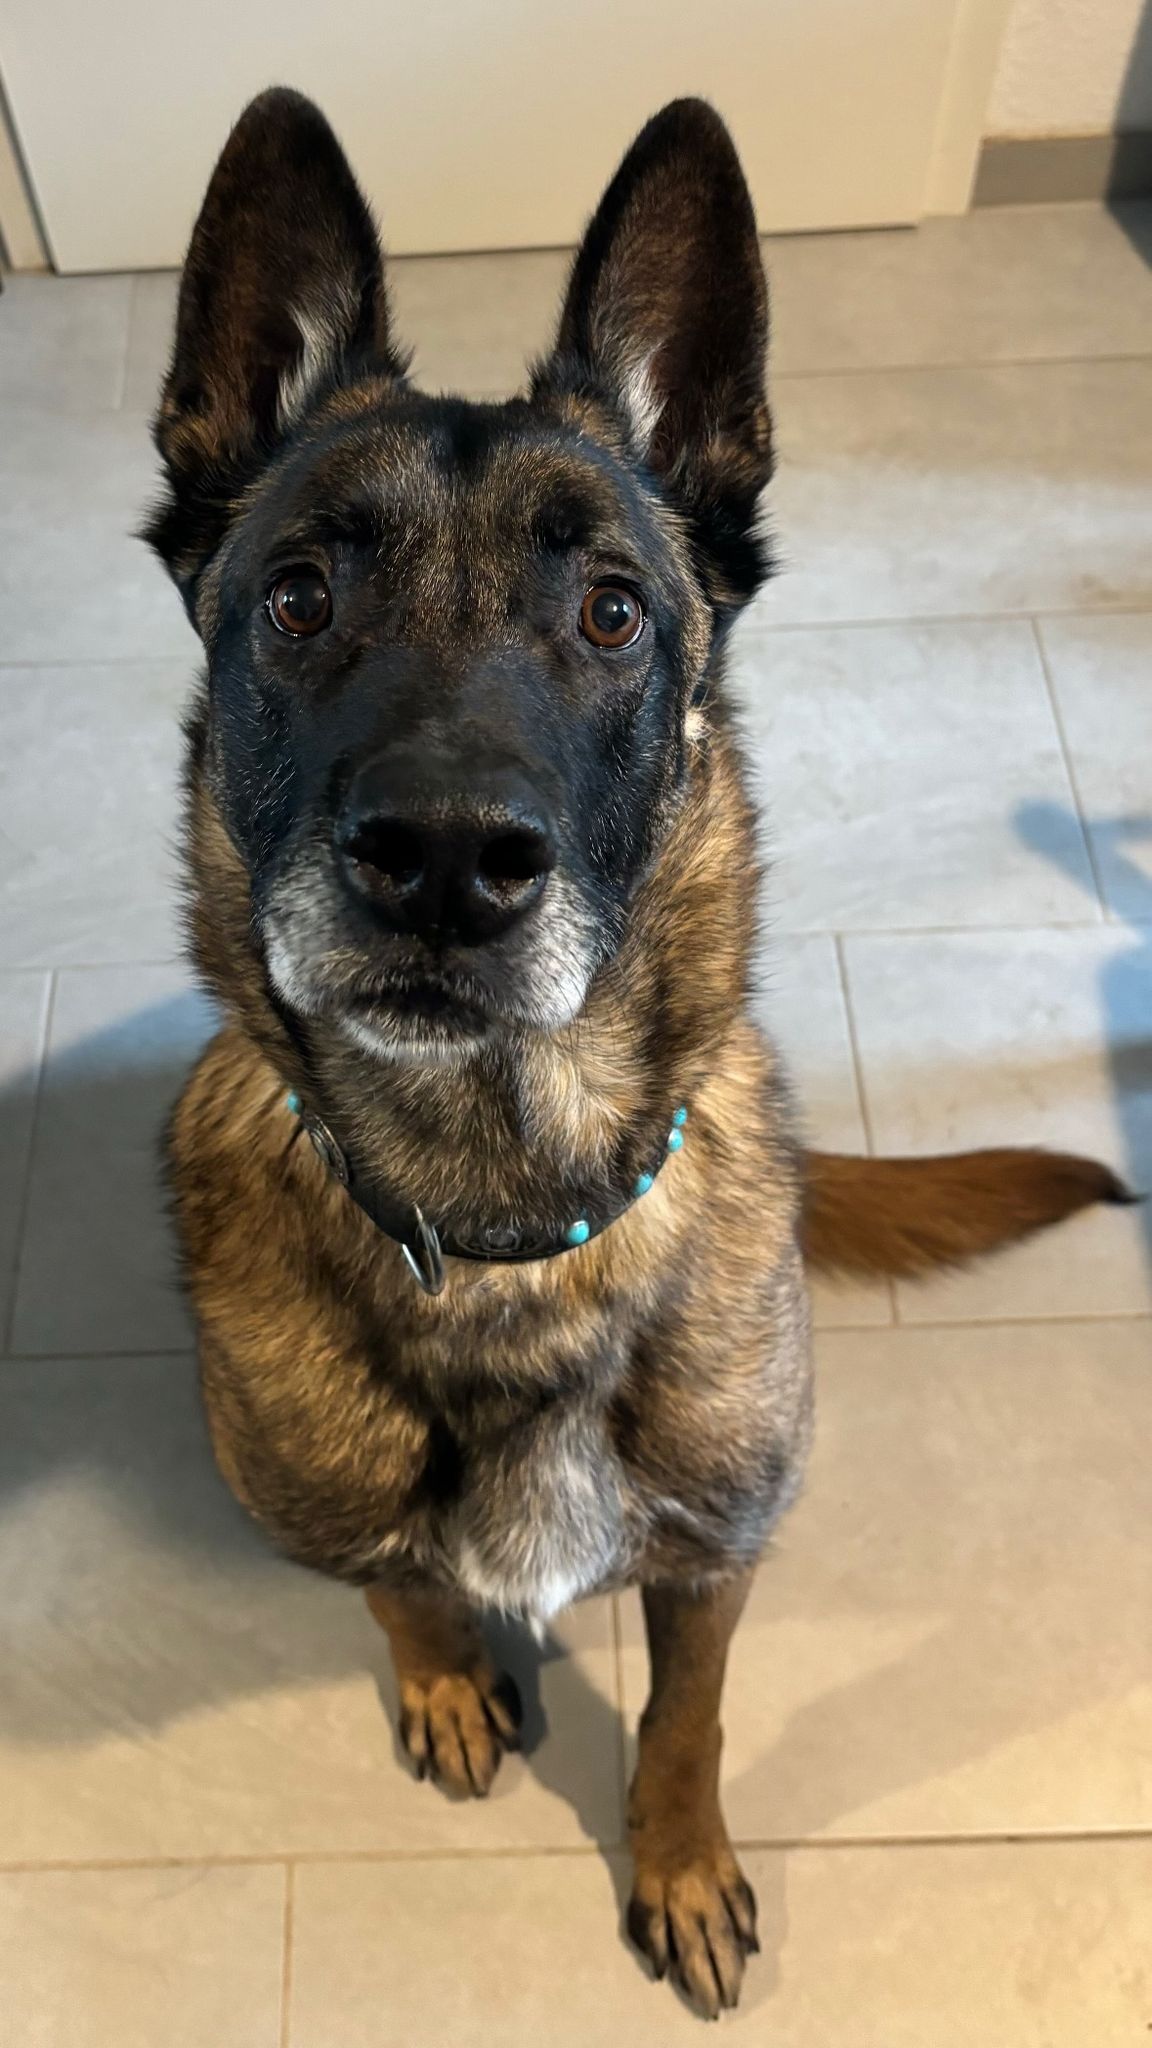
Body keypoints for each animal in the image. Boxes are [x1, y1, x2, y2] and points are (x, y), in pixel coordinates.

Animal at [145, 89, 1127, 2016]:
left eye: (612, 611)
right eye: (295, 599)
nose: (445, 864)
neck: (500, 1220)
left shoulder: (715, 1555)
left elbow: (687, 1718)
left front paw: (676, 1864)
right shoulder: (339, 1518)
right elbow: (402, 1585)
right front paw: (450, 1674)